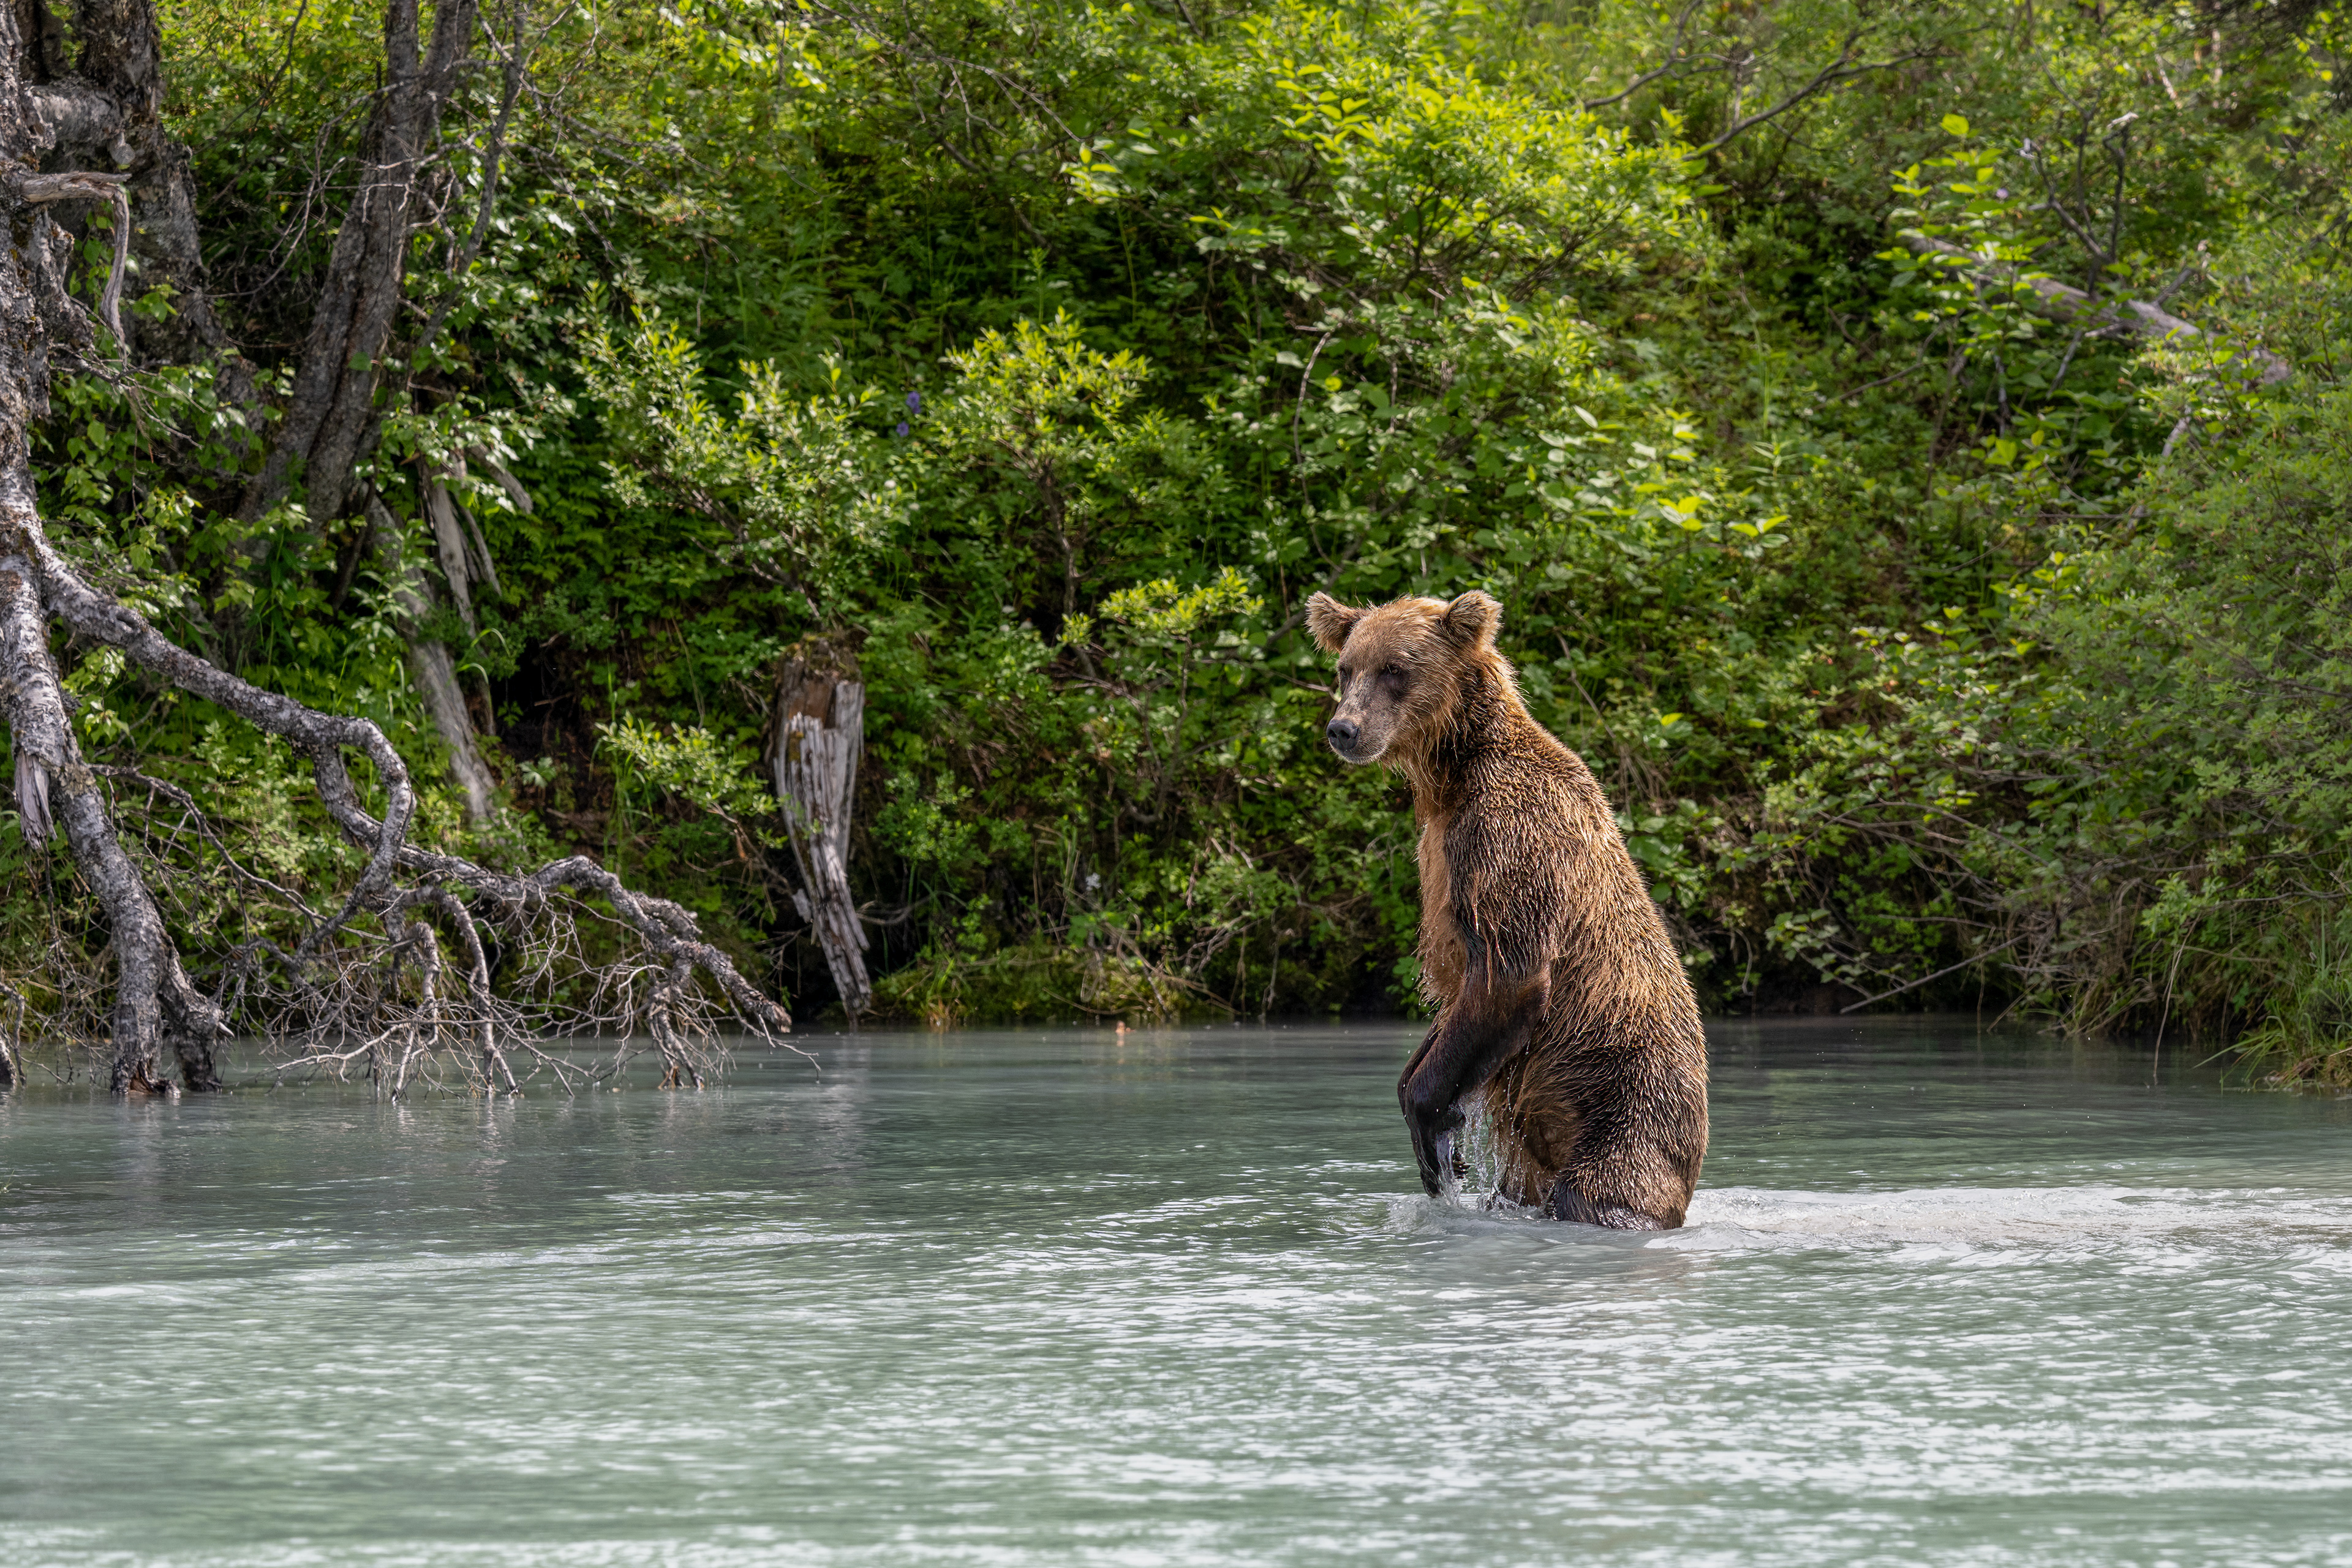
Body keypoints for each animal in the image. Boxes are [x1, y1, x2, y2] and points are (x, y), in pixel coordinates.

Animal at [1305, 588, 1708, 1229]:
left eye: (1395, 669)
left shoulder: (1505, 837)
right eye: (1346, 668)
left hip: (1628, 1113)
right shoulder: (1437, 855)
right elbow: (1461, 995)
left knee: (1601, 1194)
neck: (1453, 774)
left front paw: (1432, 1122)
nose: (1344, 728)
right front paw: (1423, 1108)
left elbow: (1510, 972)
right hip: (1534, 1154)